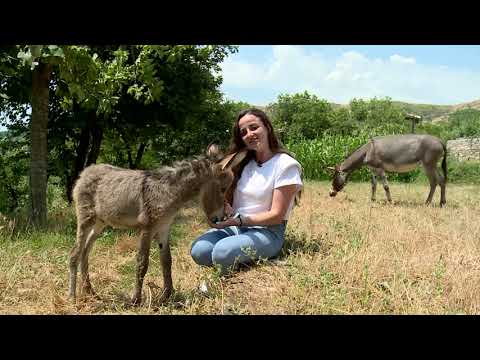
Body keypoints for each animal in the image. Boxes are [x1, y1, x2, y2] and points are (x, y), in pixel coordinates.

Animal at [69, 145, 246, 306]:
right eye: (223, 189)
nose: (221, 218)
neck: (171, 192)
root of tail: (86, 171)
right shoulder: (147, 228)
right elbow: (142, 263)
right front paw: (136, 300)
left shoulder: (164, 229)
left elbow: (167, 261)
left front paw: (167, 295)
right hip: (86, 220)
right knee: (75, 253)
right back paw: (72, 297)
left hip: (100, 224)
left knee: (85, 252)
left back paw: (90, 292)